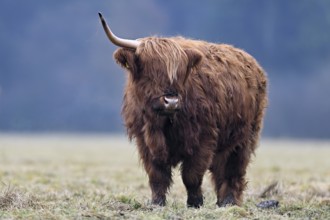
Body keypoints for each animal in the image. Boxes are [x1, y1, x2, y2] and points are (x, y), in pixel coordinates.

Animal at [98, 13, 268, 208]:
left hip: (245, 137)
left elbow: (191, 176)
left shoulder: (203, 139)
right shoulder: (144, 141)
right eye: (150, 71)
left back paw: (229, 201)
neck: (161, 122)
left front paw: (195, 203)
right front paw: (157, 203)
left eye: (179, 73)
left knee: (234, 170)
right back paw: (221, 201)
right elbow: (157, 176)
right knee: (220, 171)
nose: (171, 101)